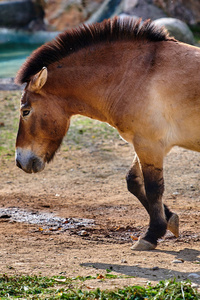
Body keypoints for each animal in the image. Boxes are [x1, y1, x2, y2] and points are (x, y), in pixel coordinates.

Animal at [14, 17, 200, 251]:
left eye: (25, 111)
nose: (20, 161)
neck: (138, 74)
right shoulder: (148, 145)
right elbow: (134, 181)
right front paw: (170, 220)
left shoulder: (149, 144)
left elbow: (153, 188)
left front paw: (151, 235)